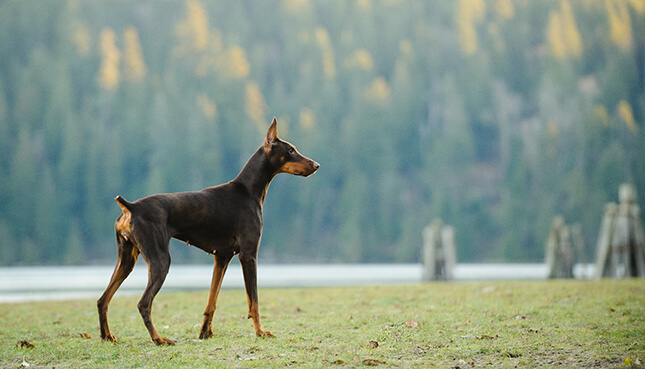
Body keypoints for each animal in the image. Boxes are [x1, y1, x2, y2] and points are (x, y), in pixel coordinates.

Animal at [97, 118, 316, 344]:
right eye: (290, 150)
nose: (316, 165)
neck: (249, 190)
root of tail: (130, 207)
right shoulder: (249, 255)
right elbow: (253, 301)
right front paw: (260, 332)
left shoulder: (221, 258)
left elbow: (212, 300)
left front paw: (205, 332)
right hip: (160, 261)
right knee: (143, 303)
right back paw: (159, 339)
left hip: (126, 260)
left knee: (102, 299)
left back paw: (107, 336)